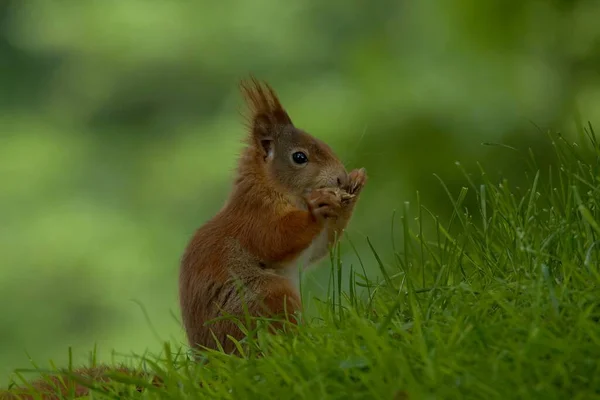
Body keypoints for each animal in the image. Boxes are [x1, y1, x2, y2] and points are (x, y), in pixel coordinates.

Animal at [2, 78, 368, 400]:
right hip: (267, 299)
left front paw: (355, 184)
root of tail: (210, 371)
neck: (272, 189)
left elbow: (318, 249)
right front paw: (319, 208)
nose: (339, 176)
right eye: (299, 157)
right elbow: (277, 240)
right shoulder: (255, 221)